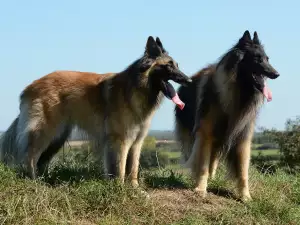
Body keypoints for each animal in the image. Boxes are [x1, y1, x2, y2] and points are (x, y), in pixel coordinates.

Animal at [0, 36, 191, 187]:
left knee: (41, 160)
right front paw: (120, 189)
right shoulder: (121, 140)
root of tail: (29, 87)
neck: (137, 87)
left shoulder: (136, 141)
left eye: (177, 65)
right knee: (30, 156)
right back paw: (33, 182)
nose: (188, 81)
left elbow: (133, 168)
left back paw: (44, 181)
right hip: (45, 132)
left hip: (58, 137)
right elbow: (120, 168)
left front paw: (135, 189)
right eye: (168, 66)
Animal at [175, 30, 280, 200]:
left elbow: (243, 171)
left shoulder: (242, 137)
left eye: (267, 59)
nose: (276, 74)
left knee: (214, 159)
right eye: (257, 59)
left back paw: (213, 177)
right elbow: (202, 165)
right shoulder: (205, 134)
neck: (239, 91)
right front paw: (200, 189)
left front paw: (245, 196)